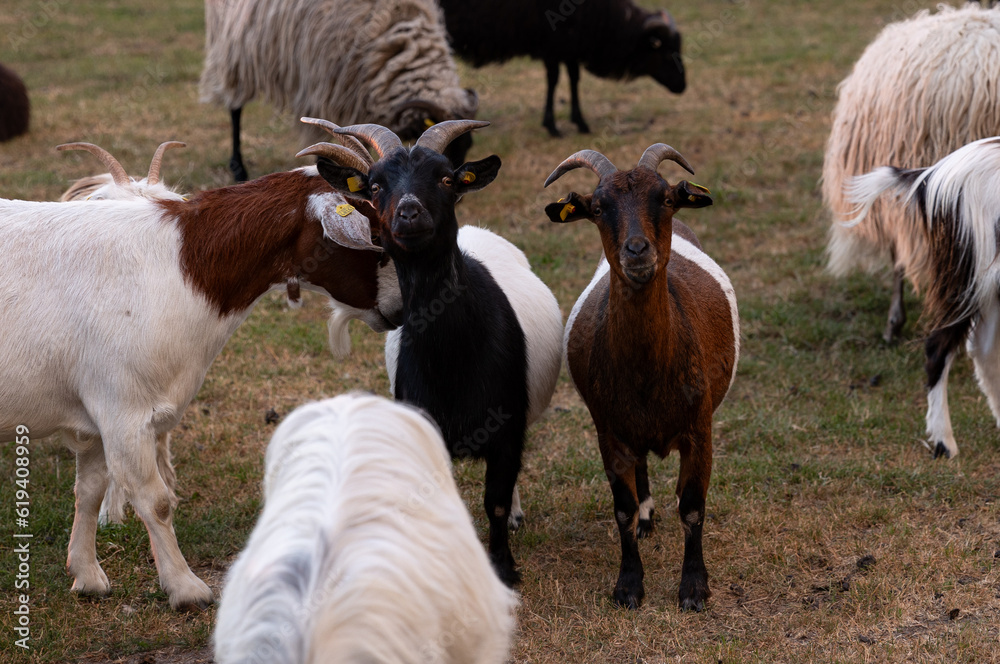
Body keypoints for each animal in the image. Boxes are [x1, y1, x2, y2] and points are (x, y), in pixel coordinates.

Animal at [0, 152, 402, 610]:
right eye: (374, 234)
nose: (400, 307)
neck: (181, 266)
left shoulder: (97, 415)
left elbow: (90, 490)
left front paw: (87, 576)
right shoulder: (124, 410)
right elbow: (154, 501)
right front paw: (185, 586)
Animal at [302, 119, 563, 586]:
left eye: (446, 178)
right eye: (374, 185)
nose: (408, 213)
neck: (453, 357)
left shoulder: (506, 429)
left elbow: (496, 501)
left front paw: (503, 568)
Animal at [438, 0, 684, 137]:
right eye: (665, 51)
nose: (682, 86)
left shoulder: (569, 47)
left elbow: (574, 78)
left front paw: (580, 122)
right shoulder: (553, 46)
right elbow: (554, 79)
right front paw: (552, 126)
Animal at [544, 145, 738, 610]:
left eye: (665, 199)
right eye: (598, 208)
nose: (636, 251)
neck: (649, 372)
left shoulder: (700, 428)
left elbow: (693, 507)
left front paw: (694, 588)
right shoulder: (609, 431)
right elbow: (623, 509)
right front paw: (629, 585)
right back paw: (648, 518)